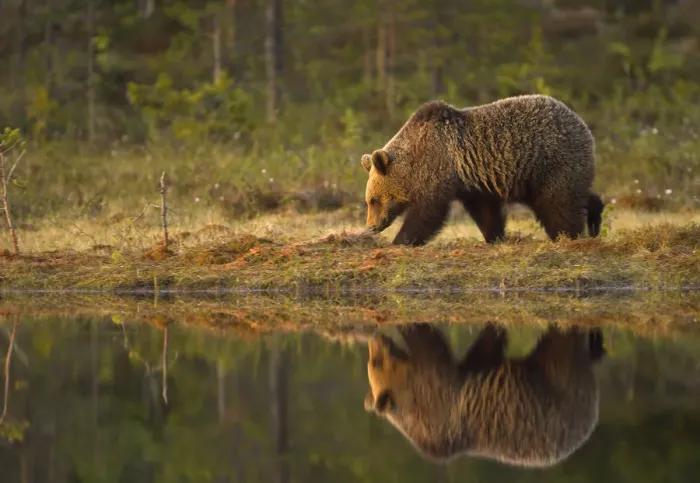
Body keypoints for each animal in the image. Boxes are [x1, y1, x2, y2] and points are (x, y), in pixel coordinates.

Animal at [360, 94, 606, 246]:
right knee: (573, 195)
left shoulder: (437, 170)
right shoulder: (473, 183)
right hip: (536, 177)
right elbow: (486, 213)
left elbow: (427, 213)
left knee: (559, 203)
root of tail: (582, 124)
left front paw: (399, 241)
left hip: (549, 162)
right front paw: (494, 236)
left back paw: (567, 235)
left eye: (373, 200)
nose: (372, 226)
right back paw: (594, 218)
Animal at [363, 322, 606, 468]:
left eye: (375, 362)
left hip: (559, 387)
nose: (374, 342)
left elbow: (430, 346)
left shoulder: (434, 397)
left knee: (563, 342)